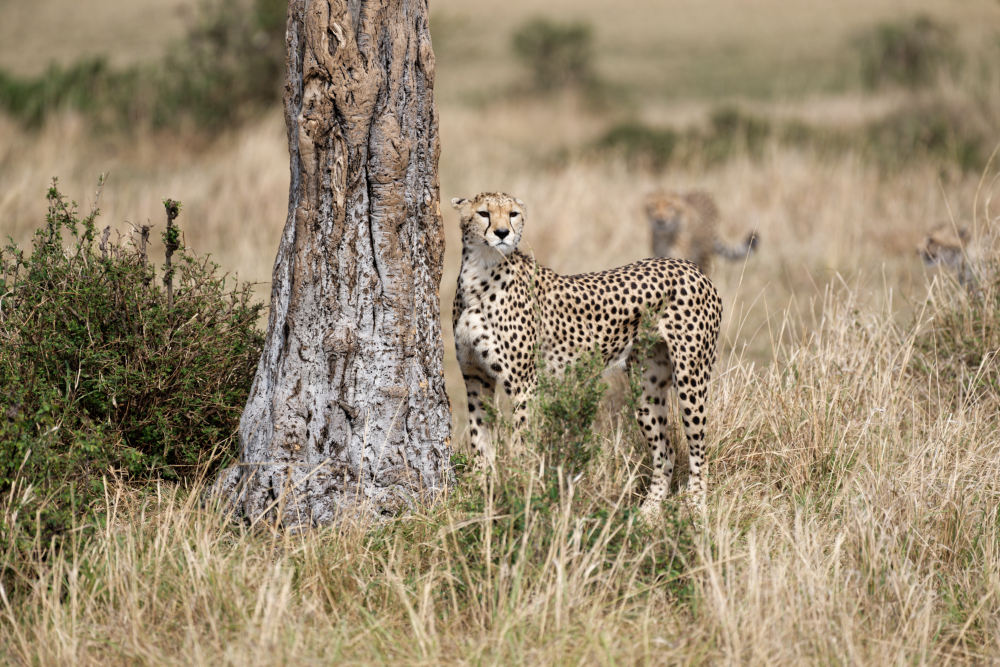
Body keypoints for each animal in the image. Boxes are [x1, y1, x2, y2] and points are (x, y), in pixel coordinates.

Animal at [450, 193, 724, 512]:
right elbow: (478, 438)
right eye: (484, 213)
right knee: (665, 452)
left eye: (513, 213)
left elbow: (521, 443)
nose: (503, 233)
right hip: (646, 387)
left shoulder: (524, 385)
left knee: (699, 448)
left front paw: (520, 489)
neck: (479, 271)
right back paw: (648, 512)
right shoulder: (475, 378)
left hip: (691, 377)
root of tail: (689, 266)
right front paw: (479, 489)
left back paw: (696, 505)